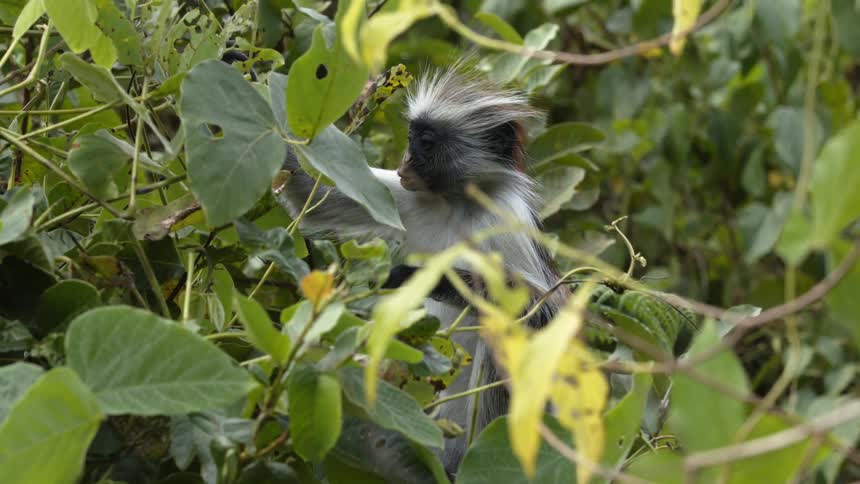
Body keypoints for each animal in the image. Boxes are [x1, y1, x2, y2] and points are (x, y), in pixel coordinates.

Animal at [279, 65, 568, 475]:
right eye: (412, 136)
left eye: (426, 142)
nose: (404, 162)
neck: (457, 205)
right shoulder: (411, 198)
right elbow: (311, 192)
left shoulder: (507, 221)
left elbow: (548, 322)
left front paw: (428, 279)